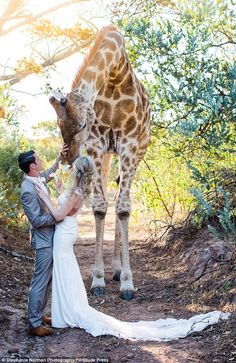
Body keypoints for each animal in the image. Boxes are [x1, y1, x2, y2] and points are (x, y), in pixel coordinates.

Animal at [48, 23, 150, 302]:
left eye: (82, 124)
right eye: (59, 125)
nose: (68, 156)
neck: (115, 76)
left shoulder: (128, 143)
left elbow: (124, 208)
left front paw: (127, 283)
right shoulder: (96, 144)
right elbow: (100, 207)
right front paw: (97, 280)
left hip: (138, 151)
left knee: (122, 199)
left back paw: (118, 270)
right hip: (106, 155)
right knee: (108, 193)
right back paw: (111, 270)